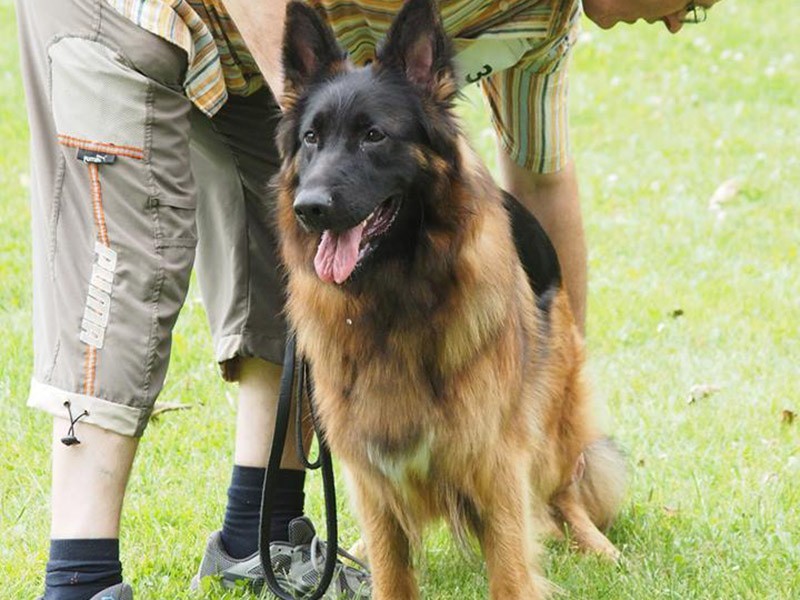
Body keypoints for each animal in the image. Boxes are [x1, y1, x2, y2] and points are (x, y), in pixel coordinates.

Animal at [272, 2, 628, 596]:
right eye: (311, 138)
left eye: (374, 135)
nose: (310, 208)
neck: (392, 304)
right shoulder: (371, 473)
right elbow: (392, 571)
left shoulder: (496, 464)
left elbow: (510, 571)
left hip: (552, 412)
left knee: (564, 489)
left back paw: (597, 545)